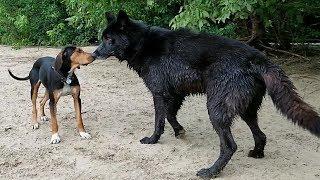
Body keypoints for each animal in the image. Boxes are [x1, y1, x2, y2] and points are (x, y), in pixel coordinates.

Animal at [94, 10, 320, 179]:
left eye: (108, 39)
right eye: (102, 38)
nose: (94, 53)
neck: (143, 43)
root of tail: (259, 58)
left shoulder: (159, 94)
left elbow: (159, 120)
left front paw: (153, 140)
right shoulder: (175, 94)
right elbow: (170, 115)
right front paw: (179, 131)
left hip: (216, 110)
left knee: (230, 146)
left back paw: (211, 171)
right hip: (246, 110)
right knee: (261, 135)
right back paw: (256, 153)